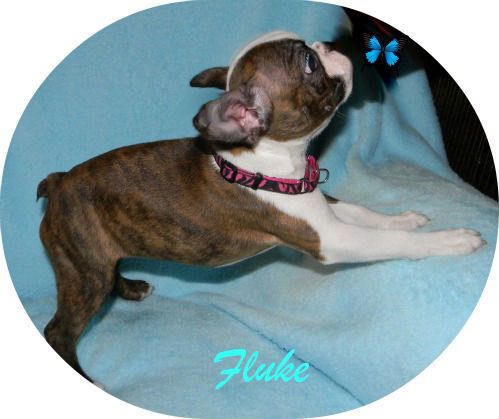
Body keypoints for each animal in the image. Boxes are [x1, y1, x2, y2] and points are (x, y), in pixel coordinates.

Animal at [37, 31, 485, 384]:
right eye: (308, 63)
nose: (331, 43)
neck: (263, 161)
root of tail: (58, 182)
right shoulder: (329, 238)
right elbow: (387, 243)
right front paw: (451, 241)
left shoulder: (321, 209)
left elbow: (365, 214)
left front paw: (404, 219)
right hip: (83, 272)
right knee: (58, 332)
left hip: (98, 258)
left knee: (112, 273)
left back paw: (132, 288)